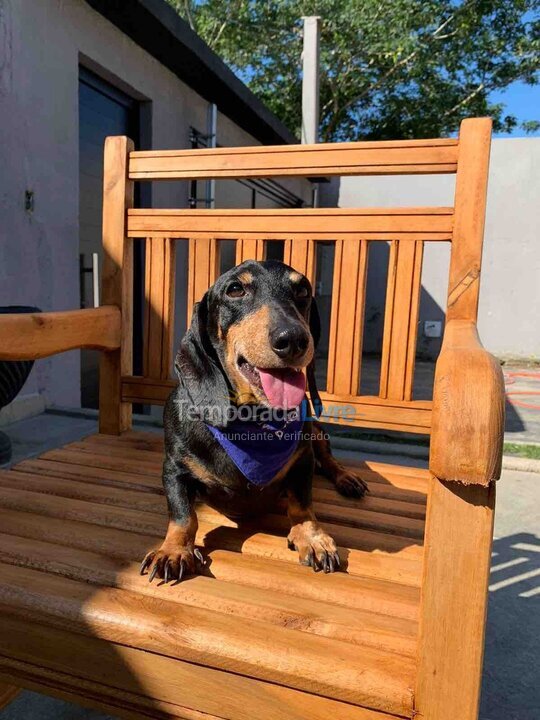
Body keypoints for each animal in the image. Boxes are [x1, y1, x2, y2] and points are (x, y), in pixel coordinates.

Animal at [139, 260, 368, 584]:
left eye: (302, 290)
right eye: (235, 289)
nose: (293, 339)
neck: (253, 420)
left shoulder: (303, 460)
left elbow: (302, 503)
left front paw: (311, 537)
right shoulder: (173, 469)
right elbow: (184, 515)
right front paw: (173, 550)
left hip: (317, 432)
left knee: (328, 458)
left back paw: (347, 478)